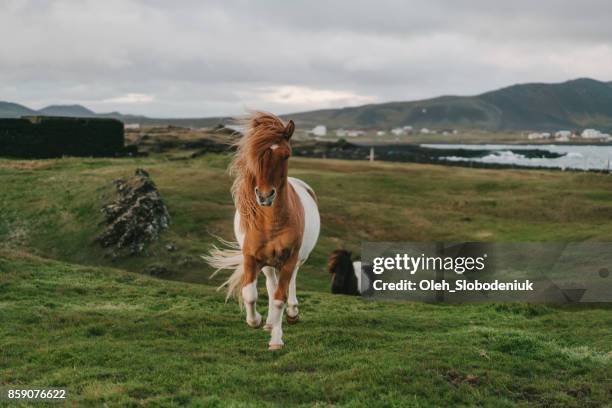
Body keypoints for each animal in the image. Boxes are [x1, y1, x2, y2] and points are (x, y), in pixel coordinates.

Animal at [206, 111, 320, 350]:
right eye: (256, 155)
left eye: (285, 156)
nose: (265, 196)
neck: (271, 222)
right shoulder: (251, 258)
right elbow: (250, 294)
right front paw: (256, 321)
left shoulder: (289, 259)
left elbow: (279, 298)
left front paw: (276, 340)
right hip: (268, 263)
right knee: (270, 283)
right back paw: (269, 322)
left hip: (296, 259)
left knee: (289, 284)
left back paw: (291, 314)